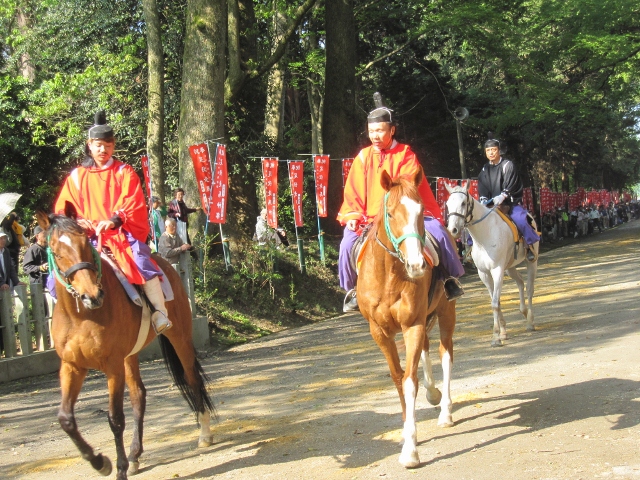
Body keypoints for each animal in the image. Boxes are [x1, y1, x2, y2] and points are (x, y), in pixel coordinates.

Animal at [36, 203, 214, 480]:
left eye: (85, 244)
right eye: (56, 251)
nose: (92, 295)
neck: (82, 316)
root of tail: (165, 263)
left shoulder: (112, 366)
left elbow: (115, 418)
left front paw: (117, 468)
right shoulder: (72, 366)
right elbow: (65, 418)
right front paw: (100, 462)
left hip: (179, 336)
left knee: (192, 378)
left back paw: (204, 433)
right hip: (130, 354)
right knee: (138, 395)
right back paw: (134, 455)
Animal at [358, 167, 458, 466]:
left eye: (421, 210)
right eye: (390, 214)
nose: (416, 265)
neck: (390, 276)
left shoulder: (412, 324)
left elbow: (409, 380)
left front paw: (410, 449)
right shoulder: (379, 331)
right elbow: (397, 377)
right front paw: (405, 430)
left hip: (446, 312)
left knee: (445, 354)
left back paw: (445, 411)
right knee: (426, 349)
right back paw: (433, 393)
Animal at [448, 183, 536, 344]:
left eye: (463, 203)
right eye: (447, 204)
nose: (453, 229)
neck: (485, 234)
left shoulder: (497, 270)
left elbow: (495, 303)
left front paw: (495, 336)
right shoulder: (483, 273)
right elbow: (496, 301)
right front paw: (503, 332)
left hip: (532, 261)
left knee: (530, 289)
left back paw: (530, 322)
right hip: (510, 267)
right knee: (520, 282)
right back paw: (524, 312)